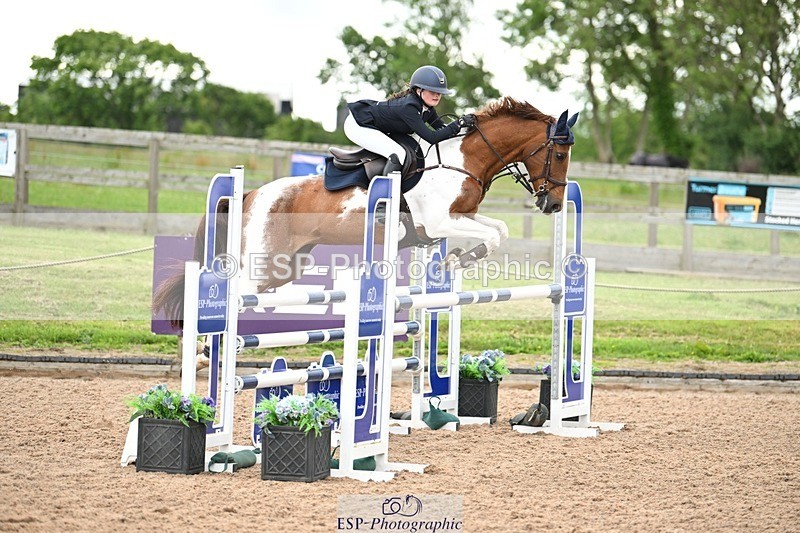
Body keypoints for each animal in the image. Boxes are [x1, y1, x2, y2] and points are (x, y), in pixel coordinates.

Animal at [154, 97, 578, 326]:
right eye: (559, 154)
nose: (554, 204)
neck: (463, 160)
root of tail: (250, 194)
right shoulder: (440, 221)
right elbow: (491, 235)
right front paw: (456, 261)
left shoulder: (459, 219)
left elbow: (500, 229)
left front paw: (454, 260)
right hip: (264, 263)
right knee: (237, 292)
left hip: (287, 265)